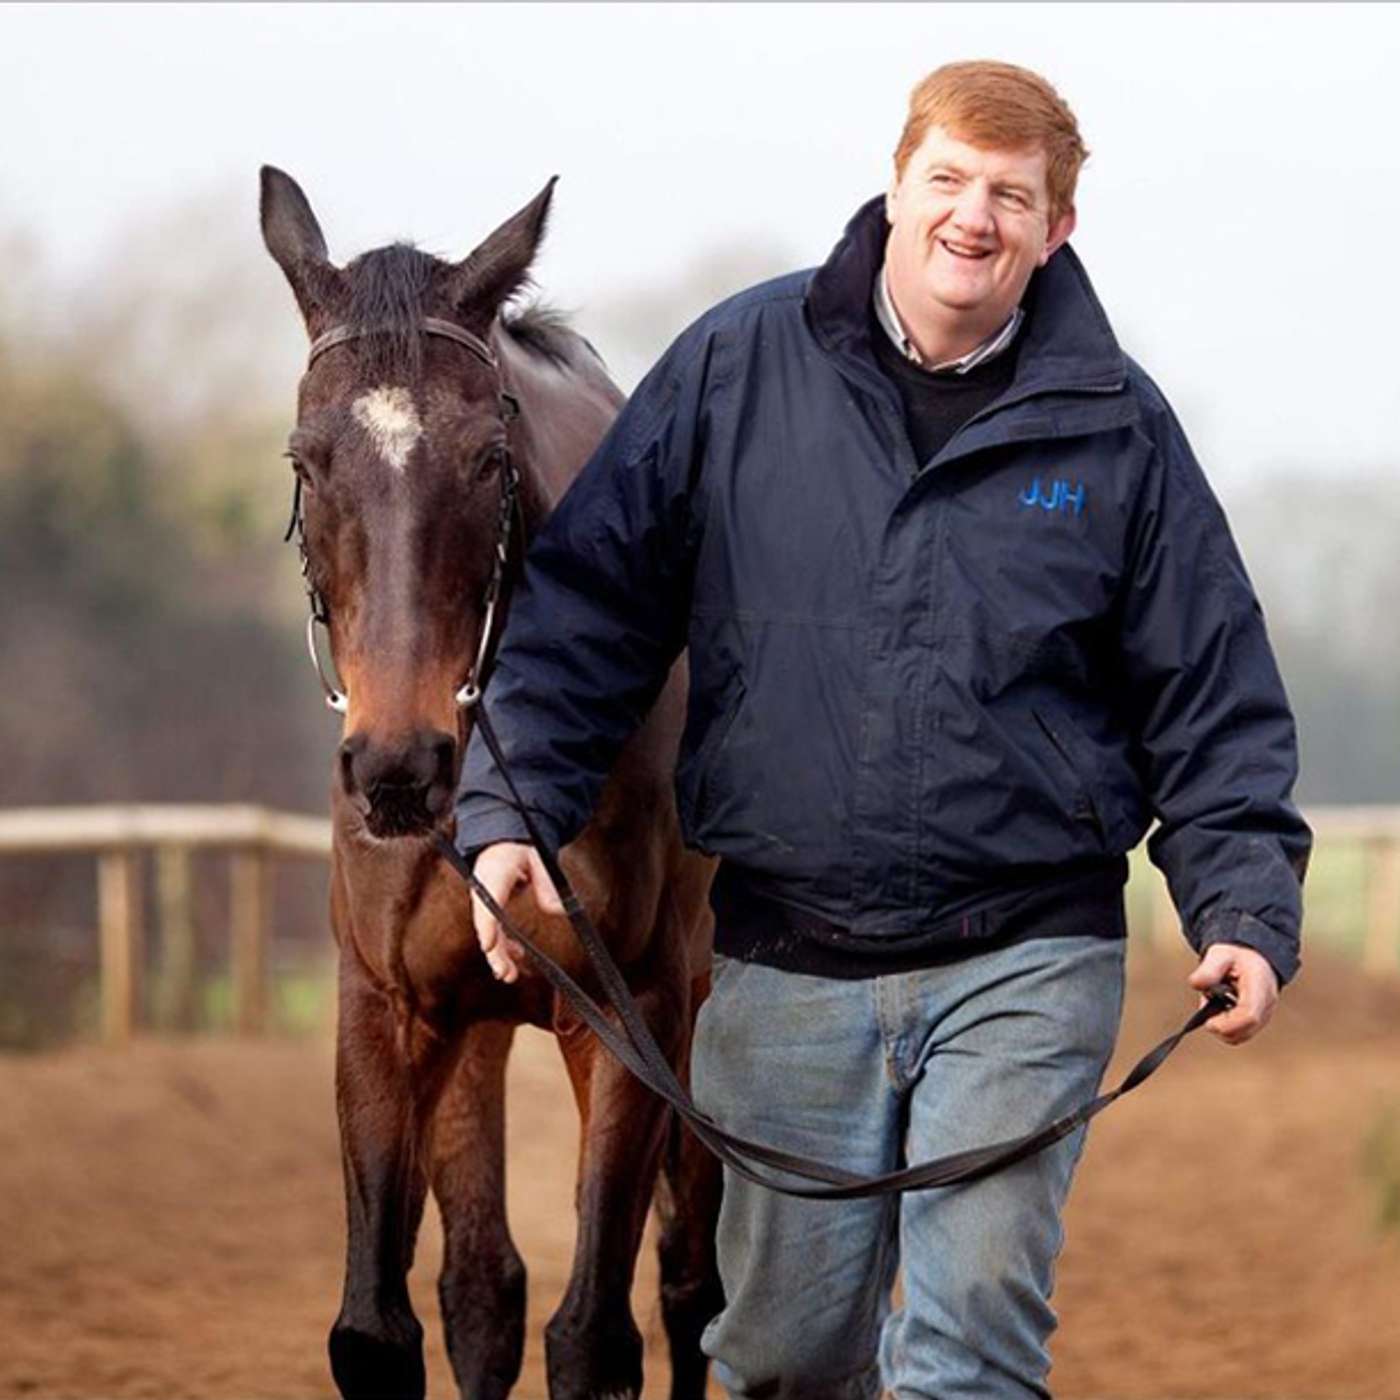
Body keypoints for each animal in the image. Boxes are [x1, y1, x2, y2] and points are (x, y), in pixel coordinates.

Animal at [259, 166, 722, 1400]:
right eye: (306, 460)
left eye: (485, 457)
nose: (397, 766)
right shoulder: (389, 1004)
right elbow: (382, 1326)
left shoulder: (631, 1007)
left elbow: (597, 1332)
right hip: (476, 1024)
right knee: (483, 1286)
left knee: (692, 1285)